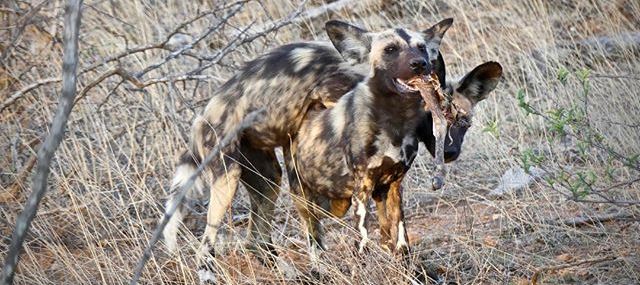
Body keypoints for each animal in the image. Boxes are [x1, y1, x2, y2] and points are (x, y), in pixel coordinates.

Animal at [288, 21, 502, 254]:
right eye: (432, 118)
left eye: (464, 122)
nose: (449, 152)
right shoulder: (362, 190)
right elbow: (362, 246)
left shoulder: (393, 186)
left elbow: (401, 242)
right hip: (304, 200)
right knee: (312, 240)